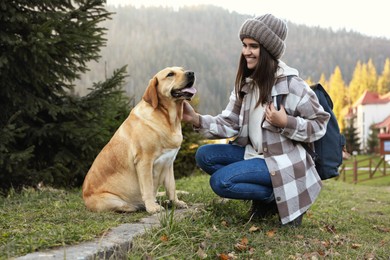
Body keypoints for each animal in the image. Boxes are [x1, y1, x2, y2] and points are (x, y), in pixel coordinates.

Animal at [83, 67, 197, 213]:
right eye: (170, 74)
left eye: (182, 70)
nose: (191, 73)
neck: (168, 119)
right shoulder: (144, 161)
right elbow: (148, 188)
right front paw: (152, 207)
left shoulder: (169, 162)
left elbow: (171, 187)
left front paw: (176, 202)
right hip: (112, 199)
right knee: (126, 205)